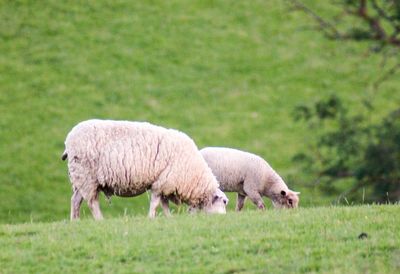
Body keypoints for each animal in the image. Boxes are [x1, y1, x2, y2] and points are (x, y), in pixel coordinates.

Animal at [60, 120, 227, 220]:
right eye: (224, 201)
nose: (225, 217)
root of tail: (68, 141)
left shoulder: (165, 183)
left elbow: (164, 204)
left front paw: (168, 217)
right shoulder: (162, 183)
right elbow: (155, 202)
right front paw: (151, 217)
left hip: (80, 178)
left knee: (76, 200)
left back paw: (75, 221)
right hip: (87, 176)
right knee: (92, 202)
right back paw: (100, 220)